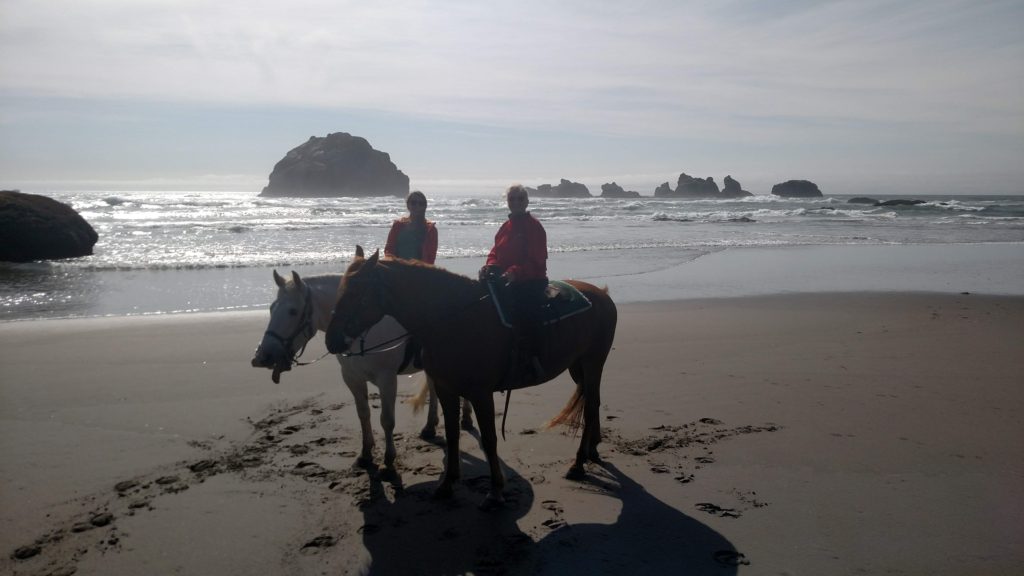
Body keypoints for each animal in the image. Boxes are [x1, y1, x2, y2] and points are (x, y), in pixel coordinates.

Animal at [249, 268, 473, 471]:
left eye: (293, 311)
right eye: (271, 309)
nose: (261, 357)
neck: (359, 330)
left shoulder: (387, 379)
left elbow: (387, 420)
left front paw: (389, 458)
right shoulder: (352, 378)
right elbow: (363, 413)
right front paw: (365, 454)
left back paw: (466, 417)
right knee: (434, 388)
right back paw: (430, 425)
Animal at [325, 247, 614, 506]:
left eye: (357, 294)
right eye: (340, 291)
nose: (331, 340)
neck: (455, 320)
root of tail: (602, 295)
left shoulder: (480, 393)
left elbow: (489, 439)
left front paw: (495, 490)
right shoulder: (446, 389)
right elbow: (453, 434)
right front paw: (447, 483)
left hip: (593, 363)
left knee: (590, 408)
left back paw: (578, 464)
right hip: (577, 367)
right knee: (594, 403)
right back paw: (591, 450)